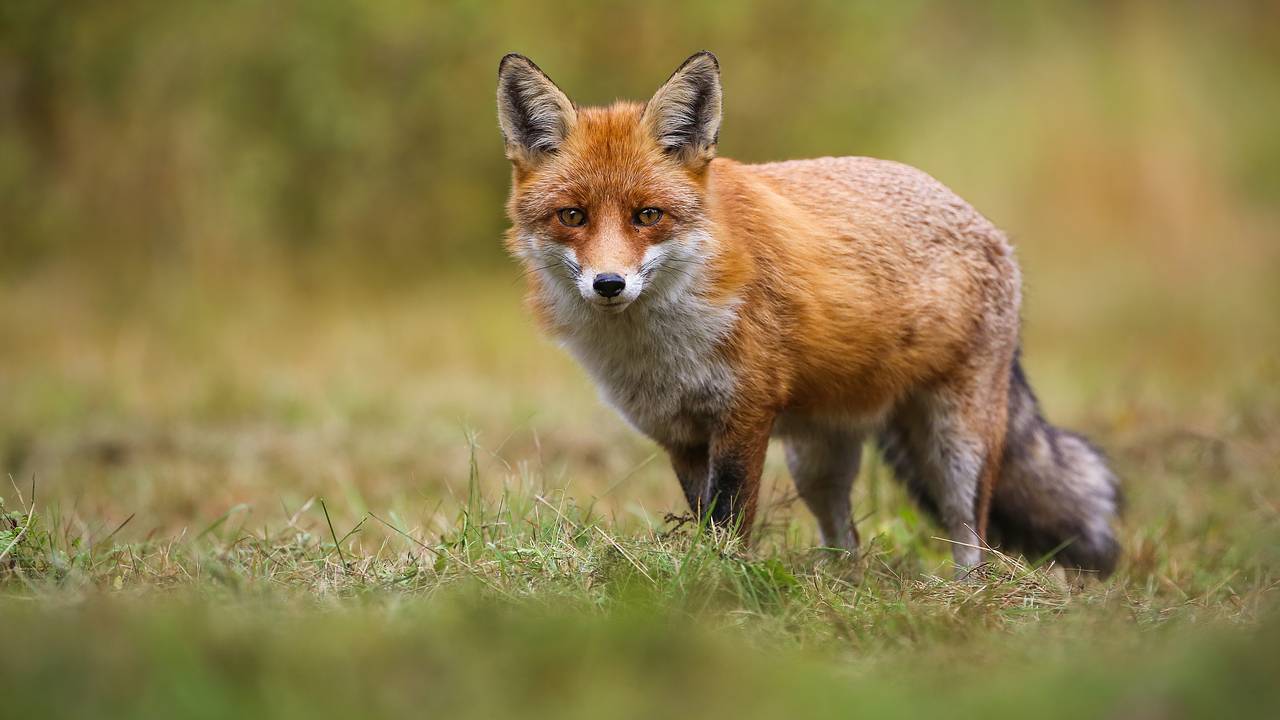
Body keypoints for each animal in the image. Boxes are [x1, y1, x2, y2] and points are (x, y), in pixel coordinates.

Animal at [496, 51, 1121, 575]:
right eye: (572, 216)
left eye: (647, 215)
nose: (609, 284)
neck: (658, 346)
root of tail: (988, 225)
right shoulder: (679, 432)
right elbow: (704, 516)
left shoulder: (745, 415)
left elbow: (730, 520)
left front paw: (721, 581)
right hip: (817, 461)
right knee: (846, 537)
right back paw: (843, 587)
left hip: (956, 445)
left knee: (972, 536)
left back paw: (967, 596)